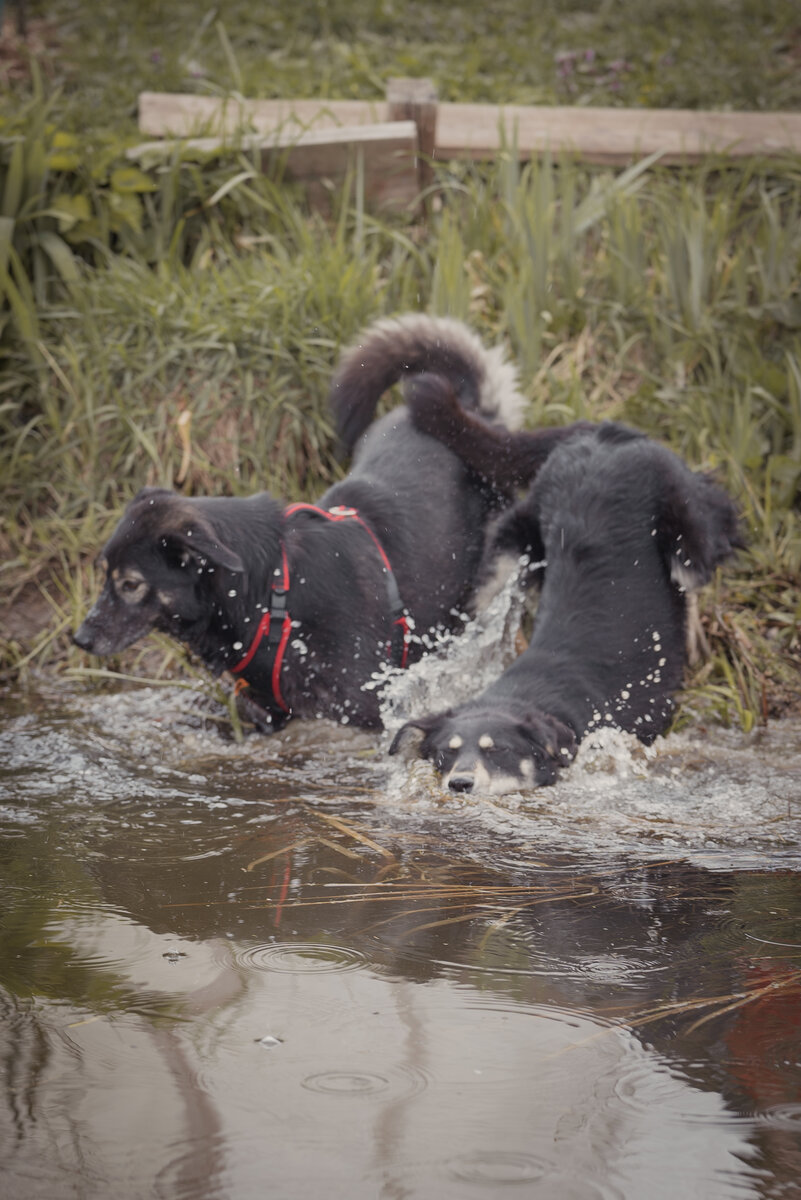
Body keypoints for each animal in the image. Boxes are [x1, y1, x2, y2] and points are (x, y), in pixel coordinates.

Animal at [74, 314, 585, 729]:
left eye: (130, 584)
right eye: (102, 574)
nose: (79, 638)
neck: (274, 592)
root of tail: (473, 411)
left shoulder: (364, 708)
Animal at [390, 384, 743, 792]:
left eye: (498, 751)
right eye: (445, 753)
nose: (459, 784)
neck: (528, 694)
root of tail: (600, 432)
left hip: (686, 526)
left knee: (693, 576)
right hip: (510, 542)